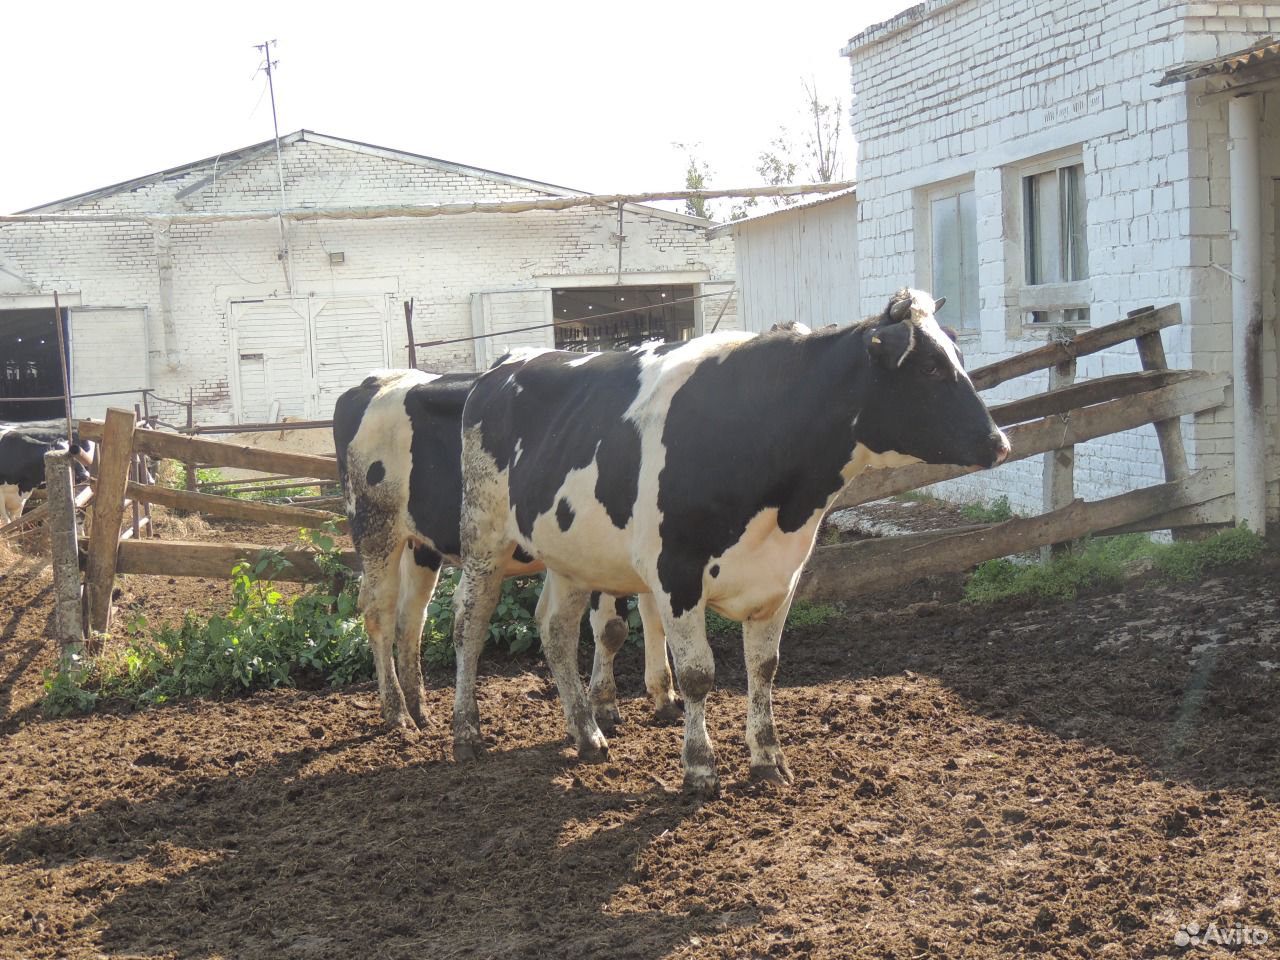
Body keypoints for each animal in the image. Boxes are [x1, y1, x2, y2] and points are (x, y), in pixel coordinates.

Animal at [335, 371, 686, 732]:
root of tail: (374, 381)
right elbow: (612, 628)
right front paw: (603, 705)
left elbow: (653, 618)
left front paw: (665, 697)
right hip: (376, 531)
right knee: (379, 612)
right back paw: (397, 712)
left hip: (421, 546)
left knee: (411, 617)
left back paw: (420, 710)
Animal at [450, 288, 1008, 798]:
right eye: (930, 368)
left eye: (959, 358)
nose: (999, 442)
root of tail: (506, 363)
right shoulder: (675, 572)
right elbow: (698, 673)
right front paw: (700, 769)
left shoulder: (781, 576)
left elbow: (764, 668)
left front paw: (768, 761)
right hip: (483, 537)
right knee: (468, 626)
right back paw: (466, 733)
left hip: (570, 557)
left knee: (556, 631)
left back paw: (587, 734)